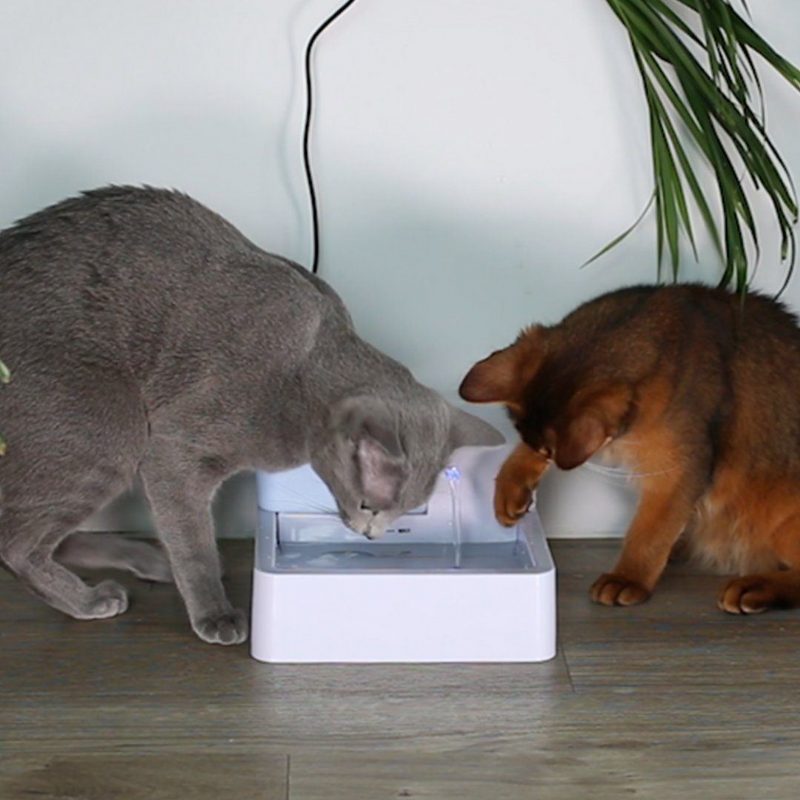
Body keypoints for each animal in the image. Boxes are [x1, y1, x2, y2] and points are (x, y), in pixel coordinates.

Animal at [0, 188, 500, 644]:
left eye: (404, 510)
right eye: (367, 505)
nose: (372, 536)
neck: (305, 375)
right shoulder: (173, 450)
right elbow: (194, 541)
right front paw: (216, 614)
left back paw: (147, 559)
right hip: (108, 432)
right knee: (16, 544)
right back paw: (92, 599)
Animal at [460, 284, 800, 616]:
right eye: (543, 452)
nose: (549, 458)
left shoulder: (679, 469)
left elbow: (649, 531)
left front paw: (628, 578)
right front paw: (510, 487)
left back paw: (753, 587)